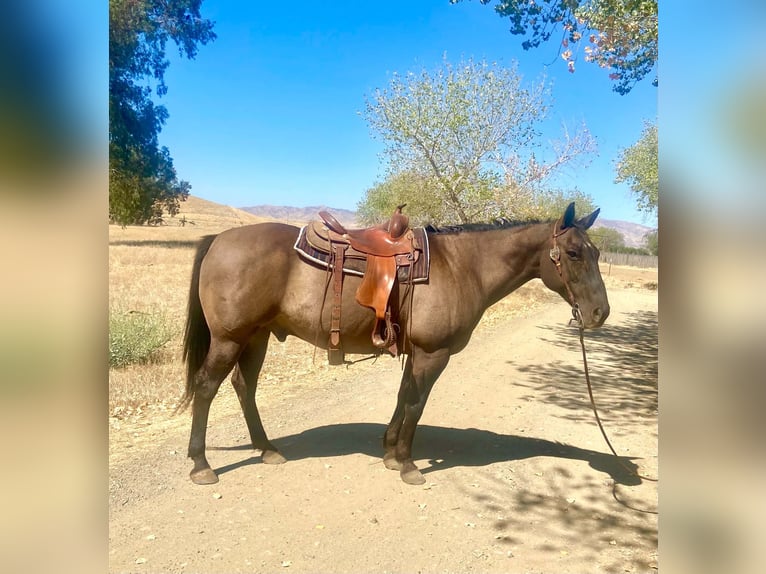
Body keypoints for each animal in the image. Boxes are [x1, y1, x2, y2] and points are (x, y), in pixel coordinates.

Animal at [180, 202, 609, 485]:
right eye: (573, 253)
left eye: (597, 252)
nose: (600, 313)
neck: (462, 266)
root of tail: (219, 239)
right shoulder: (433, 354)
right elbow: (417, 405)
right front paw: (407, 463)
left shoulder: (416, 353)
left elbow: (404, 398)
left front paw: (388, 451)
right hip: (230, 338)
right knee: (206, 388)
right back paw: (201, 464)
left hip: (257, 336)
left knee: (244, 387)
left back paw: (267, 449)